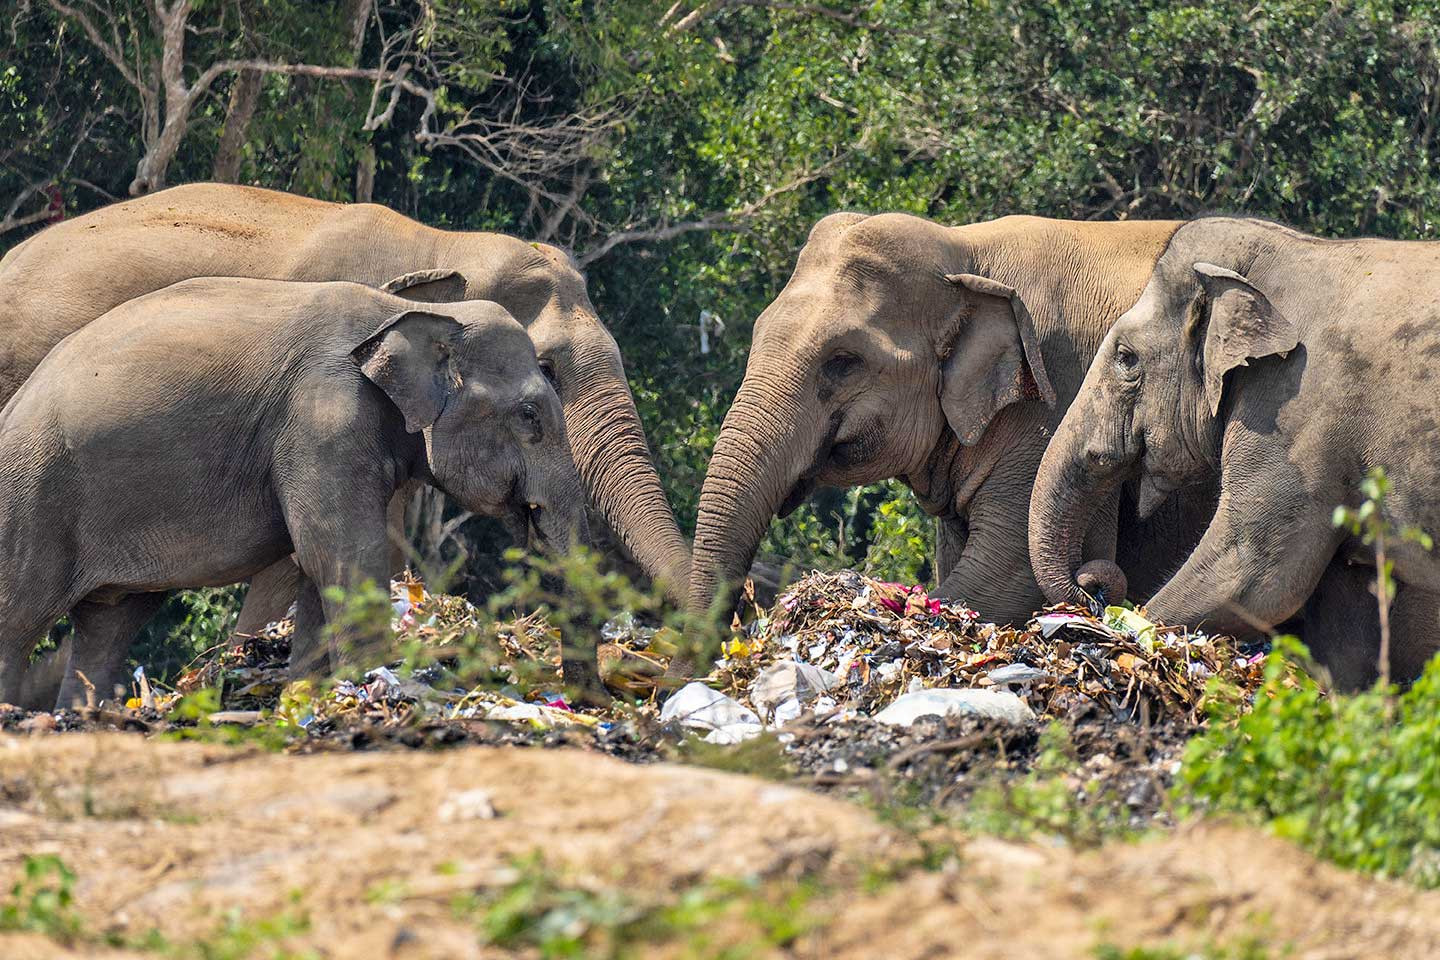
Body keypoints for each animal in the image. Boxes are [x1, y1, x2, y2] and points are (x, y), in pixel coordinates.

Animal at [0, 277, 594, 710]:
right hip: (31, 497)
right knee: (18, 619)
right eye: (530, 416)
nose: (584, 704)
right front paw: (380, 689)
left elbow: (321, 568)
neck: (407, 311)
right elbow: (343, 554)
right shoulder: (323, 420)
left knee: (108, 625)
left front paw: (310, 698)